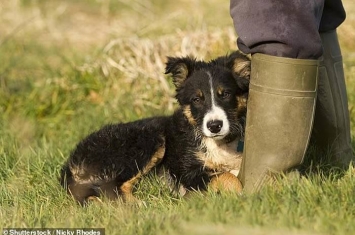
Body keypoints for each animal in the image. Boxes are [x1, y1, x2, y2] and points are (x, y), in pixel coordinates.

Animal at [59, 50, 250, 205]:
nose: (214, 126)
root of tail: (71, 162)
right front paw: (241, 196)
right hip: (147, 141)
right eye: (197, 99)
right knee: (111, 187)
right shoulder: (188, 172)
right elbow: (226, 176)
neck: (221, 142)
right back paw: (138, 205)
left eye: (226, 94)